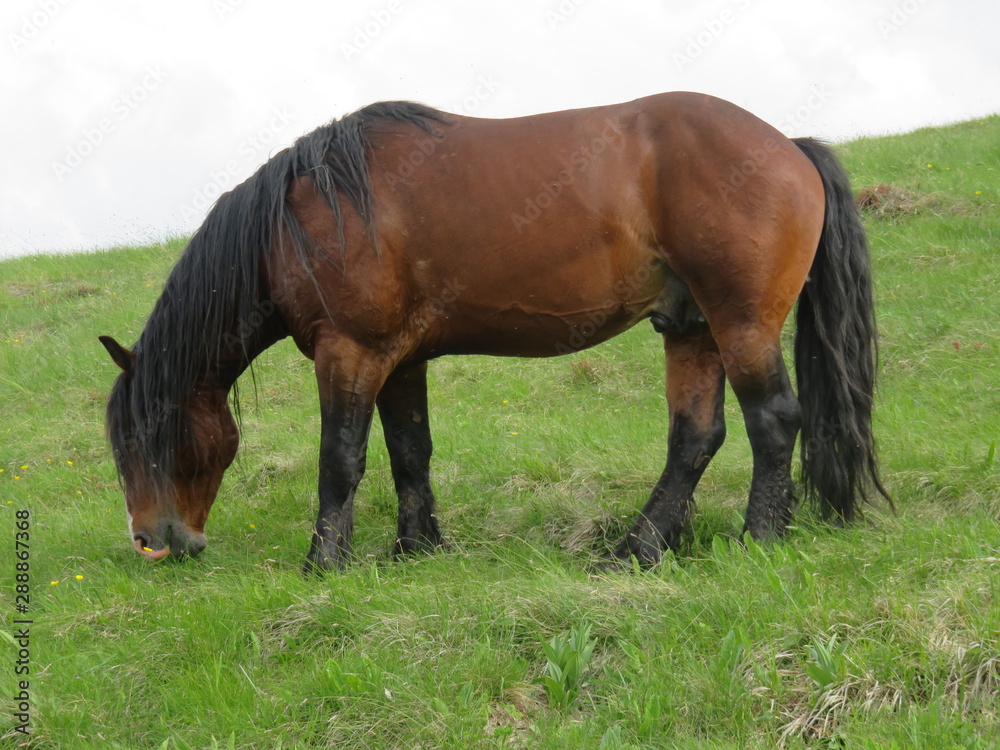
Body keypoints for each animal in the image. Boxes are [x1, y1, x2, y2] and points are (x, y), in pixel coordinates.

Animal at [97, 95, 888, 576]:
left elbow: (341, 459)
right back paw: (635, 550)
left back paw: (758, 539)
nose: (151, 540)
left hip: (739, 323)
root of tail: (788, 146)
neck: (308, 213)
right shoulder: (400, 361)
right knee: (694, 438)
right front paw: (417, 548)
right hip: (691, 329)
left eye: (143, 435)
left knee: (773, 420)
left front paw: (324, 563)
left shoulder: (349, 352)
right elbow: (409, 452)